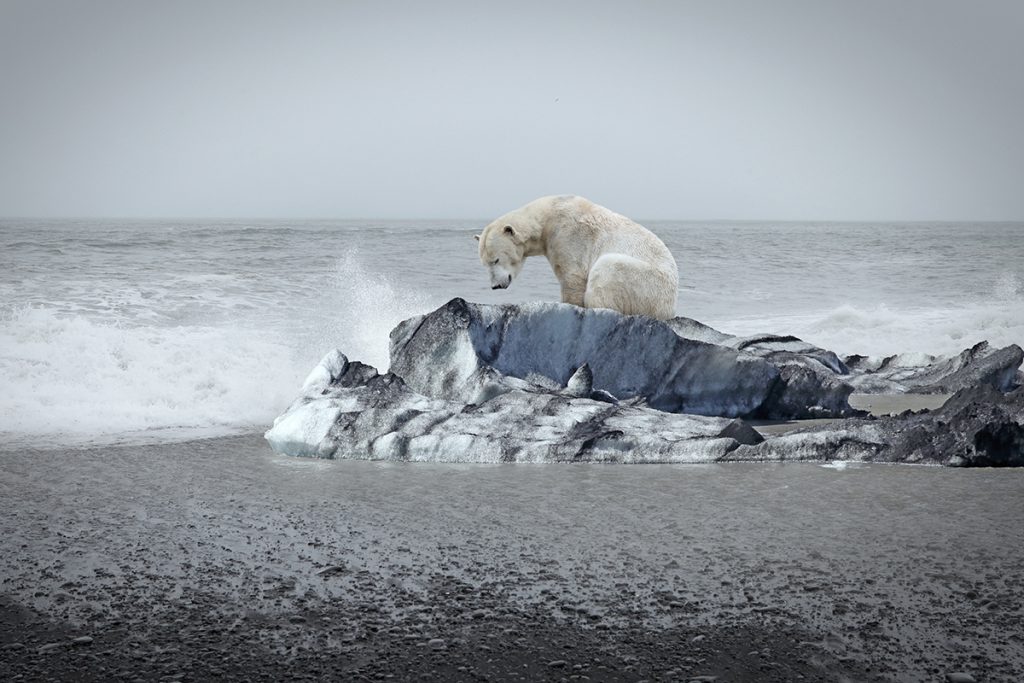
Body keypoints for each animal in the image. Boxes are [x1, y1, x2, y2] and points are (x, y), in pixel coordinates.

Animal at [476, 195, 679, 319]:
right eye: (484, 264)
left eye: (496, 260)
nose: (495, 286)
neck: (548, 216)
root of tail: (669, 308)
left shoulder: (568, 236)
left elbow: (572, 277)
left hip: (647, 283)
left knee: (607, 269)